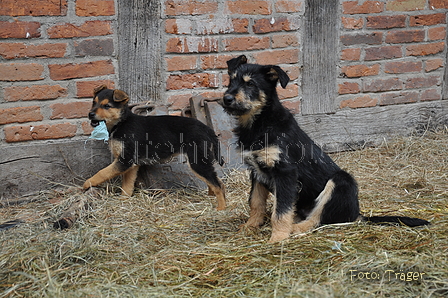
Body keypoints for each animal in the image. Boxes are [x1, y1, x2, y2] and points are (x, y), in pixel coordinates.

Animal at [83, 85, 226, 211]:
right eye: (93, 103)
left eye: (107, 106)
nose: (90, 114)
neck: (121, 123)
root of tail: (207, 129)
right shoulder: (132, 164)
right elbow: (127, 185)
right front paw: (124, 200)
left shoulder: (124, 161)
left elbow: (103, 172)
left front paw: (87, 183)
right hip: (201, 161)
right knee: (214, 181)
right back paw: (210, 198)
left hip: (197, 161)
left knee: (218, 184)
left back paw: (221, 208)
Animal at [220, 55, 430, 242]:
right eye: (231, 80)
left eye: (250, 84)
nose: (227, 98)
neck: (260, 123)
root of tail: (357, 214)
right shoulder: (256, 171)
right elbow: (255, 203)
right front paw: (250, 227)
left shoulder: (285, 173)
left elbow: (280, 211)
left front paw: (278, 238)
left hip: (341, 181)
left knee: (318, 218)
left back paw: (295, 229)